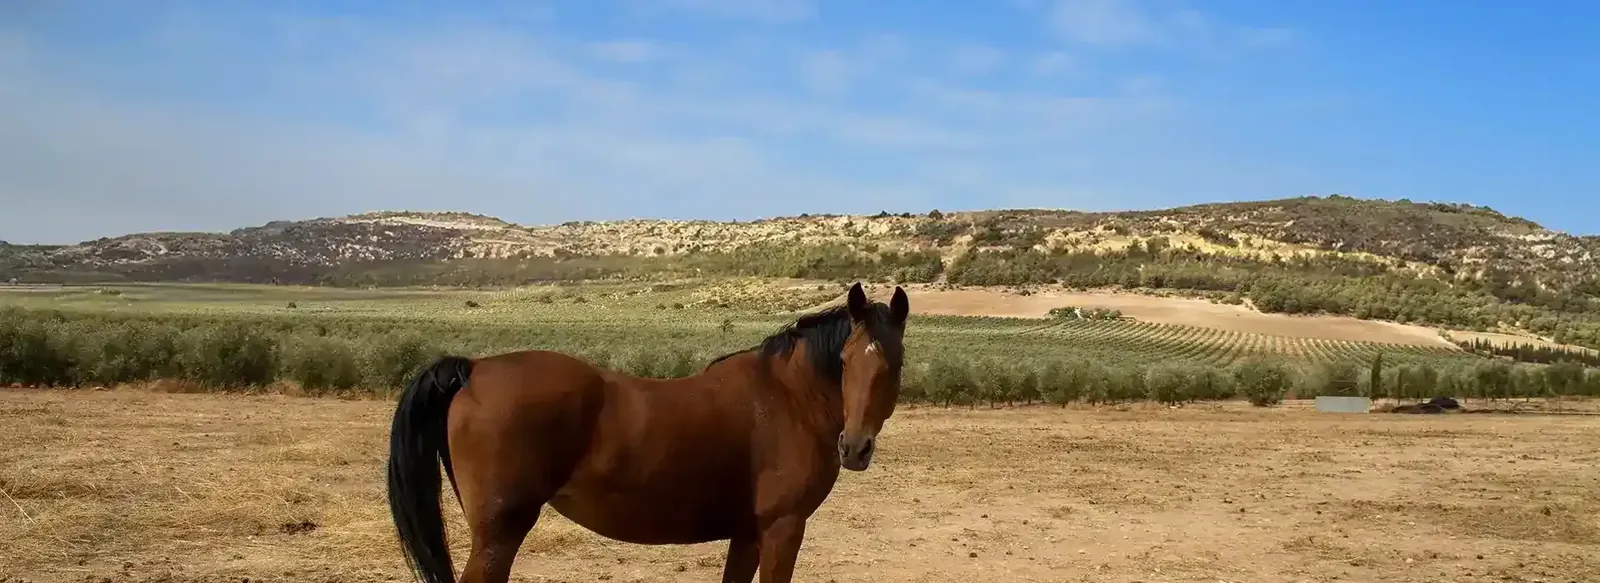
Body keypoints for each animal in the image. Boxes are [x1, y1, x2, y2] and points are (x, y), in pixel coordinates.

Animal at [386, 282, 911, 583]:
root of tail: (474, 368)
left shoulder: (747, 533)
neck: (787, 398)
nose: (854, 447)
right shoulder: (782, 529)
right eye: (845, 361)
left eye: (895, 363)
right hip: (499, 536)